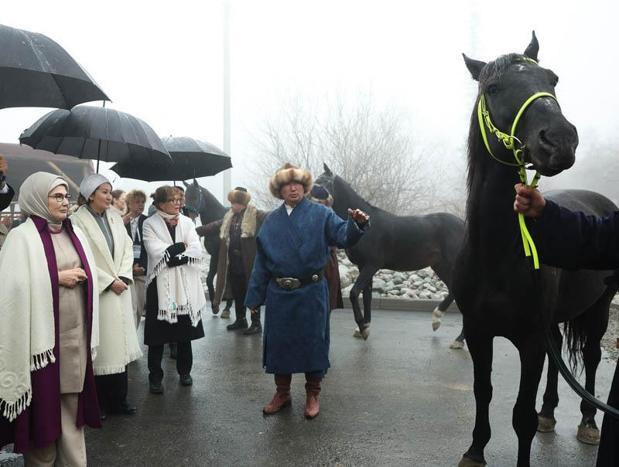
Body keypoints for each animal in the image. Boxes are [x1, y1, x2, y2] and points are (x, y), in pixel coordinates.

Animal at [314, 166, 464, 346]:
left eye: (322, 182)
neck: (364, 225)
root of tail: (464, 224)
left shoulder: (371, 265)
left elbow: (354, 293)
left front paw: (363, 328)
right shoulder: (363, 267)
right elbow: (367, 296)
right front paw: (364, 327)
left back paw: (454, 336)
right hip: (440, 266)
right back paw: (440, 323)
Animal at [452, 33, 616, 467]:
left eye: (552, 79)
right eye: (493, 88)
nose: (560, 140)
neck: (497, 255)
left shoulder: (529, 341)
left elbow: (520, 416)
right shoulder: (479, 332)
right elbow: (483, 392)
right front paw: (475, 450)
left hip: (598, 309)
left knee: (591, 357)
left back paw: (588, 422)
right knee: (559, 353)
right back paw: (550, 412)